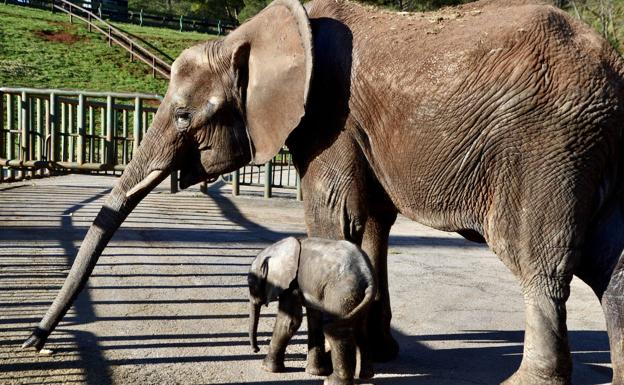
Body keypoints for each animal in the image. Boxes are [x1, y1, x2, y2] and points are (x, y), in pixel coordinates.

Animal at [247, 236, 376, 384]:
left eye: (250, 284)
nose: (256, 349)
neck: (276, 249)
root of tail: (368, 277)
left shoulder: (292, 284)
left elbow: (290, 321)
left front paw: (267, 368)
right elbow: (314, 320)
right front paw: (315, 372)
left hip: (341, 292)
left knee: (337, 329)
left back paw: (332, 381)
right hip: (356, 295)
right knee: (360, 327)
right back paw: (366, 375)